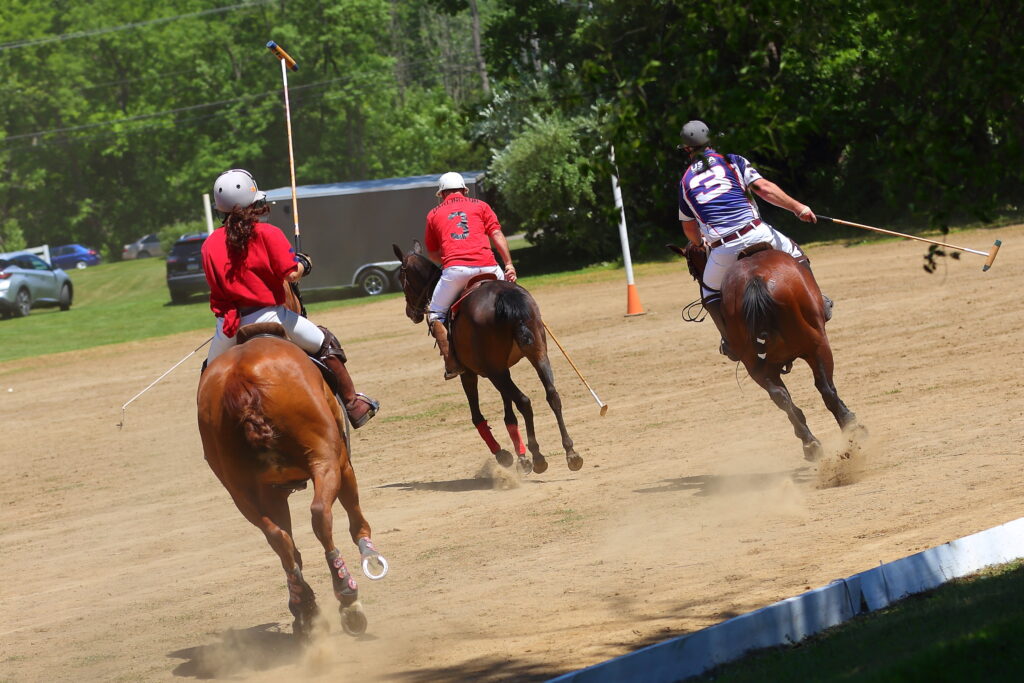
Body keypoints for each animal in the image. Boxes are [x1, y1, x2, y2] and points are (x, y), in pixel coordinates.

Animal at [195, 282, 387, 634]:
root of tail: (241, 381)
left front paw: (299, 605)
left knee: (277, 537)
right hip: (325, 460)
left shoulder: (273, 492)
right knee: (320, 515)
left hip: (240, 489)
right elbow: (354, 516)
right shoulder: (342, 462)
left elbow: (288, 544)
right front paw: (368, 552)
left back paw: (305, 603)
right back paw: (346, 593)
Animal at [391, 241, 585, 475]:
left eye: (402, 278)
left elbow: (477, 415)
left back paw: (538, 457)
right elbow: (509, 414)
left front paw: (504, 455)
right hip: (536, 353)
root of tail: (506, 296)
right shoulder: (503, 367)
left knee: (524, 401)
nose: (411, 312)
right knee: (552, 395)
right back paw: (571, 453)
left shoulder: (469, 373)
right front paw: (521, 458)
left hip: (493, 371)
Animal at [671, 242, 864, 462]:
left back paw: (810, 444)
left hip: (754, 363)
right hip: (817, 345)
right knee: (825, 387)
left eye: (692, 269)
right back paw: (851, 427)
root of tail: (756, 280)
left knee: (781, 397)